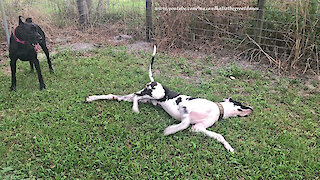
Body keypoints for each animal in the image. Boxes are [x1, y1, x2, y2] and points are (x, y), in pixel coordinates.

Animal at [86, 45, 254, 153]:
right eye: (240, 104)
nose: (252, 109)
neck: (216, 109)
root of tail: (154, 82)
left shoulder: (198, 128)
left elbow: (219, 136)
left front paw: (229, 147)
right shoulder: (186, 109)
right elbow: (183, 122)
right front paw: (170, 130)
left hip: (141, 98)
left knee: (120, 96)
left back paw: (92, 98)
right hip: (155, 94)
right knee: (136, 96)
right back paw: (135, 109)